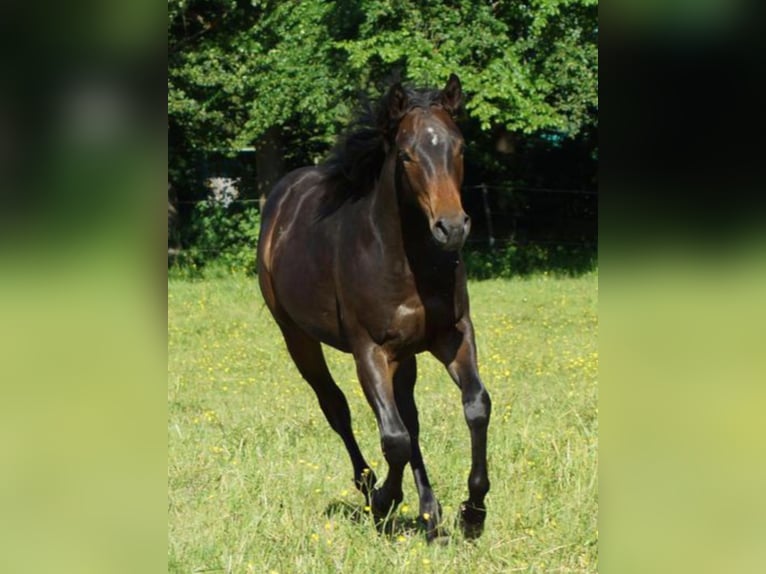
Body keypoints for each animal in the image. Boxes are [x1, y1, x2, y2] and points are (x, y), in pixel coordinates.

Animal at [256, 74, 491, 542]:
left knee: (409, 417)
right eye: (406, 155)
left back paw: (429, 513)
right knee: (336, 407)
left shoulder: (452, 335)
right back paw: (368, 486)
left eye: (459, 148)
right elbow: (394, 438)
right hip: (297, 337)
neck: (408, 259)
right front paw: (384, 501)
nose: (452, 227)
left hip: (405, 355)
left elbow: (475, 406)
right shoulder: (370, 350)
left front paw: (472, 512)